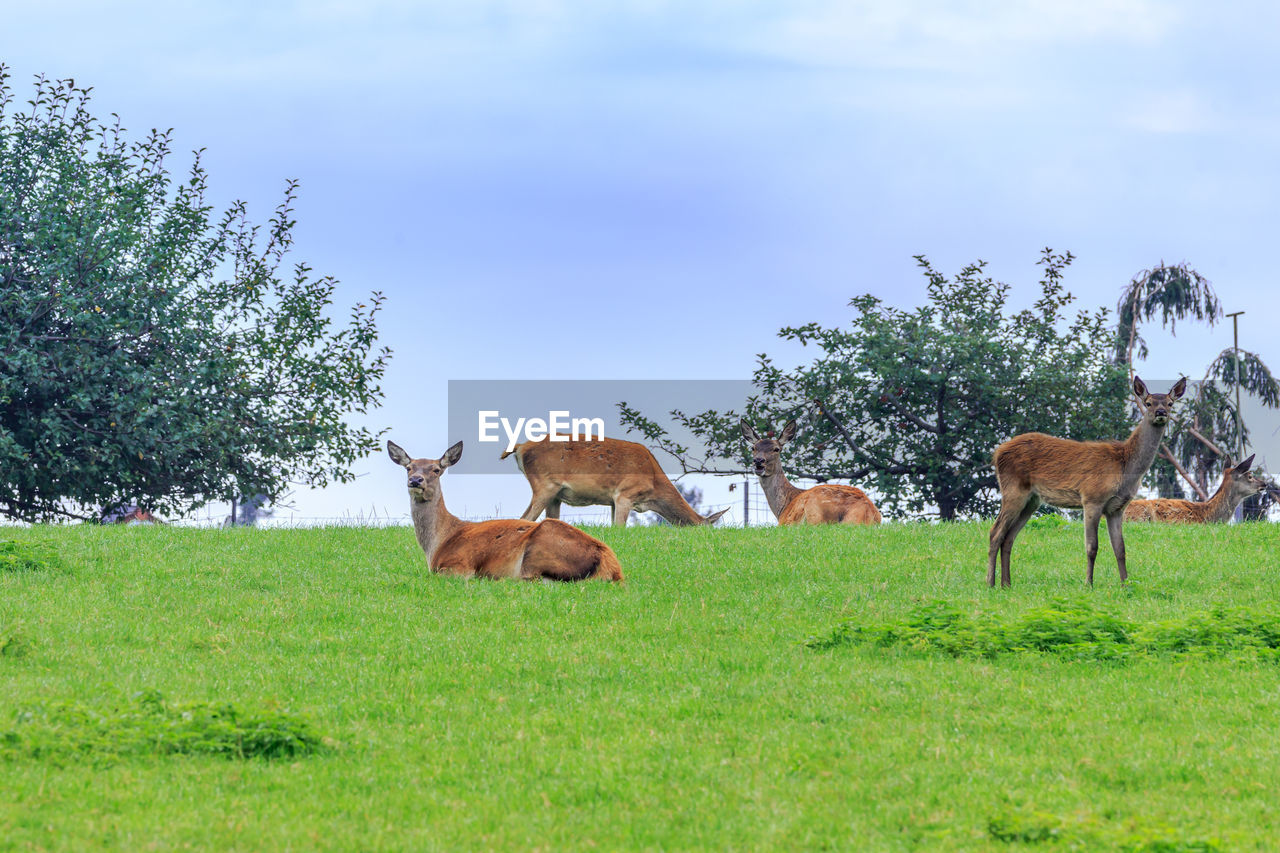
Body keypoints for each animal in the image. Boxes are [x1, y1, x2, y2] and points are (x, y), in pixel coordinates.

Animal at [386, 440, 622, 581]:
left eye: (436, 469)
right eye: (409, 468)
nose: (416, 480)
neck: (437, 544)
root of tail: (613, 568)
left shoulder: (459, 566)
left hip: (538, 552)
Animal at [499, 438, 732, 525]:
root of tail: (520, 447)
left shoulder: (612, 500)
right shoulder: (625, 494)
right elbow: (620, 527)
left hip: (555, 496)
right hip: (545, 485)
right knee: (525, 517)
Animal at [742, 417, 880, 525]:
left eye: (776, 449)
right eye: (753, 448)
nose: (758, 460)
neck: (782, 507)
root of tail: (867, 512)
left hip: (815, 513)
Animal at [988, 376, 1187, 589]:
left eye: (1170, 403)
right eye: (1148, 403)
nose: (1161, 413)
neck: (1124, 466)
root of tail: (997, 453)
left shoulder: (1117, 508)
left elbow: (1120, 548)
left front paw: (1125, 584)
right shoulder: (1092, 498)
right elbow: (1092, 546)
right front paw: (1089, 584)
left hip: (1032, 500)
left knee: (1009, 537)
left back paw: (1006, 584)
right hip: (1013, 490)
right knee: (995, 532)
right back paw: (990, 583)